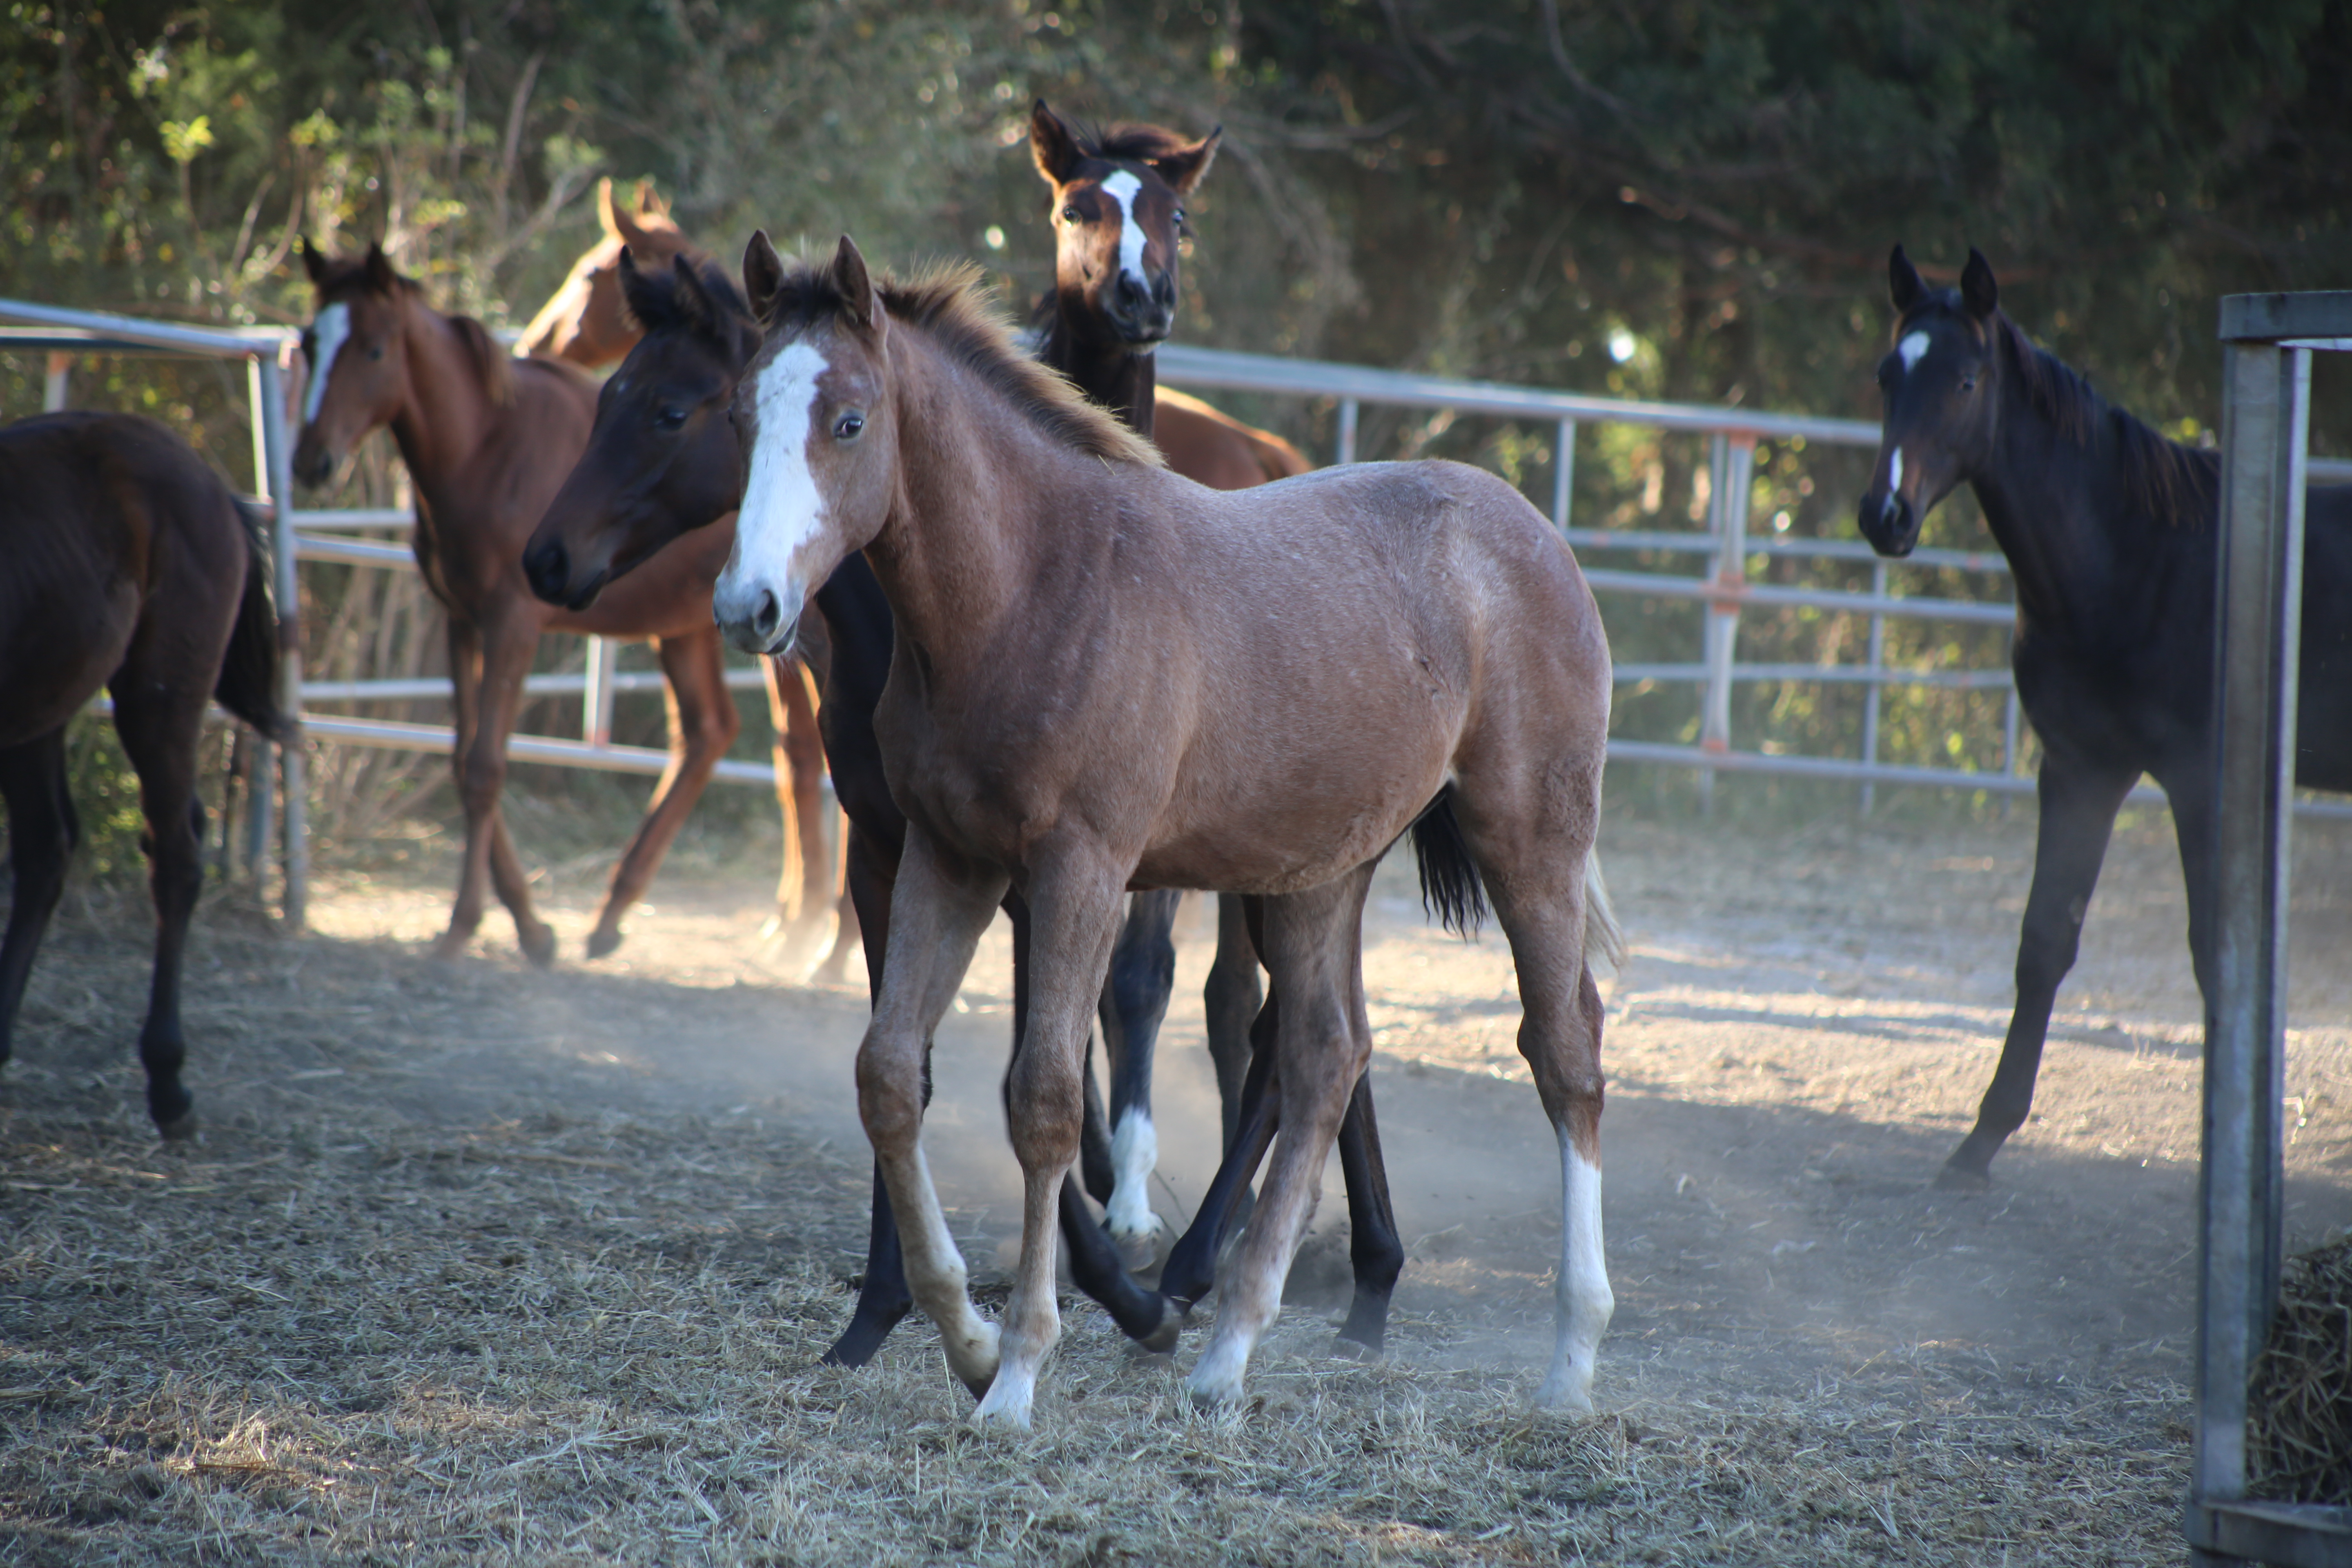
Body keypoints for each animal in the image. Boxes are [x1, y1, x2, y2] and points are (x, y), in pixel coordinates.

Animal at [0, 411, 292, 1133]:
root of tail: (209, 481)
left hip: (158, 696)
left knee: (176, 860)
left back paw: (169, 1083)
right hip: (43, 703)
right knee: (47, 851)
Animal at [715, 236, 1627, 1439]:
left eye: (851, 421)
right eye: (739, 413)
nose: (751, 606)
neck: (1033, 586)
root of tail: (1534, 535)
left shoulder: (1082, 868)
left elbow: (1046, 1102)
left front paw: (1017, 1373)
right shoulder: (945, 857)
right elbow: (888, 1077)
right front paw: (964, 1339)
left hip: (1529, 838)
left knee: (1563, 1051)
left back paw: (1571, 1360)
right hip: (1322, 869)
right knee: (1327, 1054)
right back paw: (1226, 1355)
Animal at [1853, 245, 2352, 1185]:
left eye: (1966, 379)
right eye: (1885, 375)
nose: (1884, 516)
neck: (2132, 555)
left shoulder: (2201, 783)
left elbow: (2218, 958)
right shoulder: (2081, 768)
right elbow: (2045, 941)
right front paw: (1979, 1143)